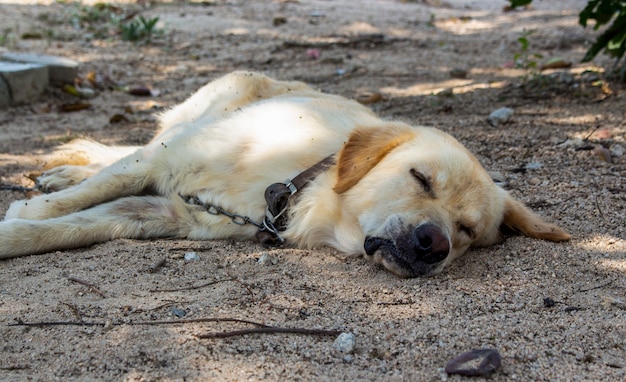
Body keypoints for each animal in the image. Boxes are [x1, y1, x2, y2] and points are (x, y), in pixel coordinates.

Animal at [0, 70, 564, 276]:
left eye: (467, 230)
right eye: (420, 178)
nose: (434, 244)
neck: (298, 184)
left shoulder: (170, 213)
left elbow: (75, 226)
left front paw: (19, 231)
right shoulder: (161, 161)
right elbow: (67, 206)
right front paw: (29, 208)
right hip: (185, 125)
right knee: (127, 148)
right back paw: (63, 169)